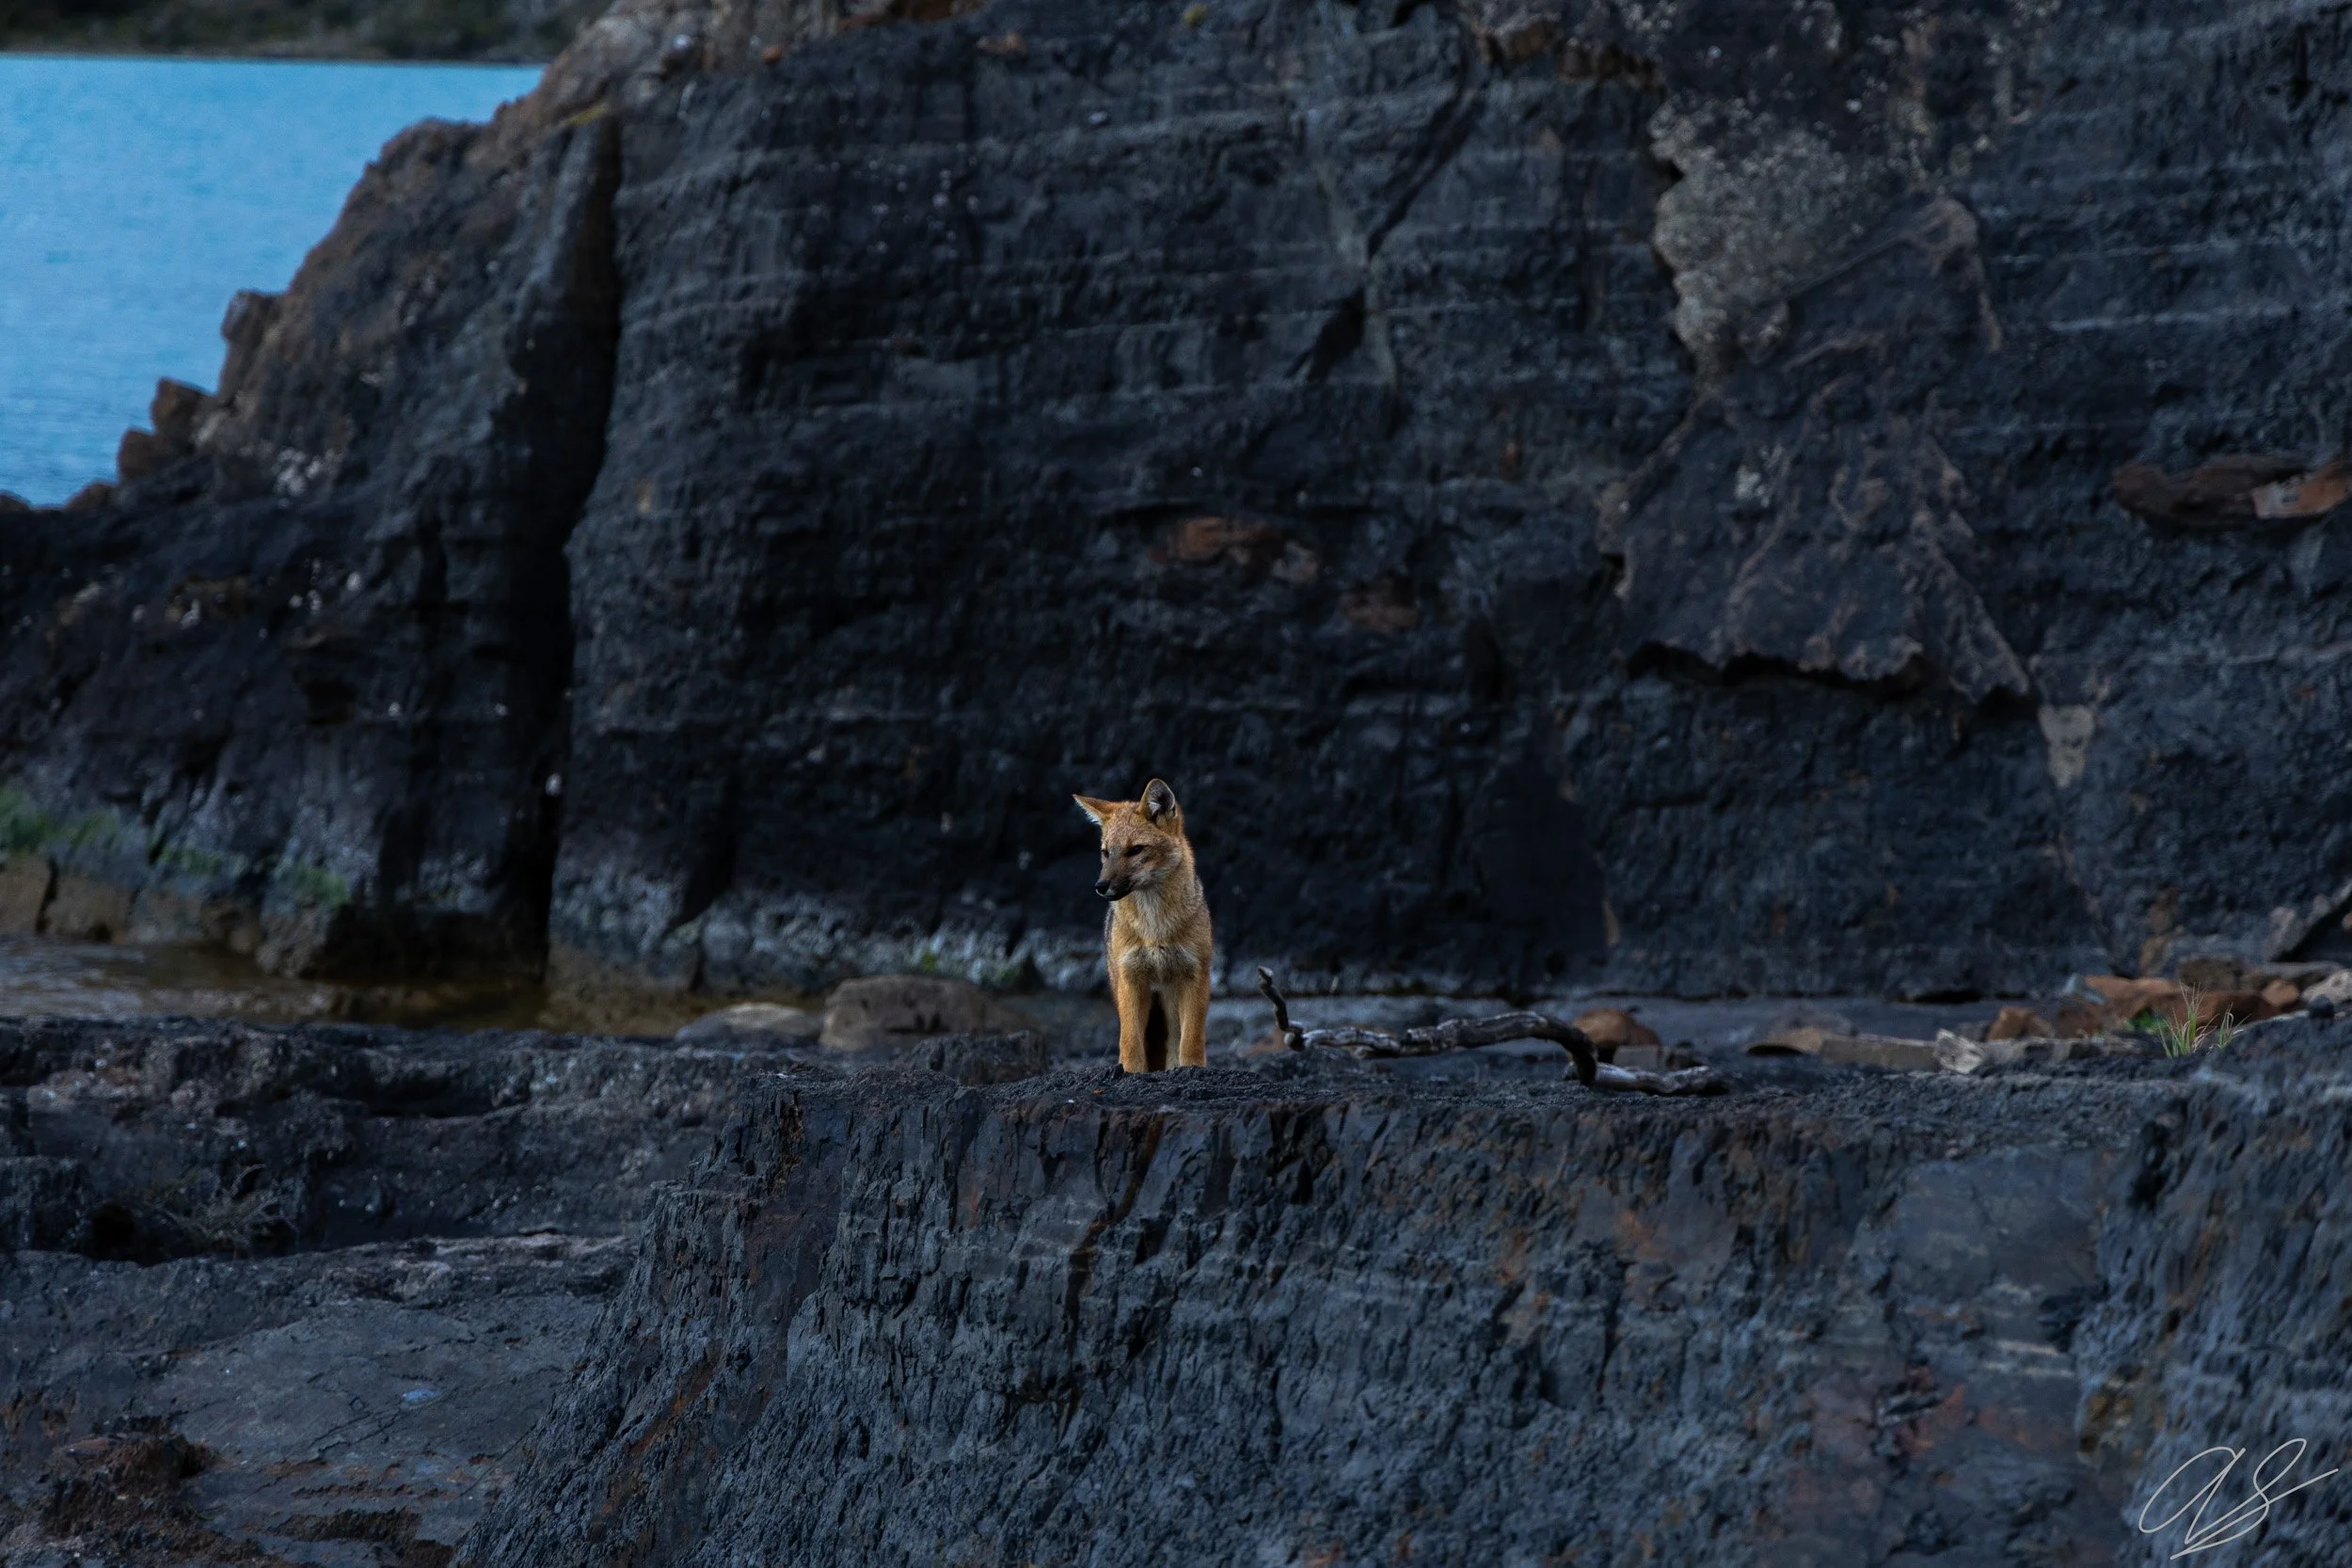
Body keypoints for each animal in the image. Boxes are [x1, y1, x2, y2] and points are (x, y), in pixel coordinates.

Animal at [1072, 778, 1214, 1072]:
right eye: (1105, 853)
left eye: (1135, 850)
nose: (1100, 886)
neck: (1155, 928)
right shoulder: (1131, 978)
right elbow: (1130, 1042)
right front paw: (1130, 1072)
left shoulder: (1195, 976)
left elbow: (1191, 1041)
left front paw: (1192, 1070)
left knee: (1175, 1041)